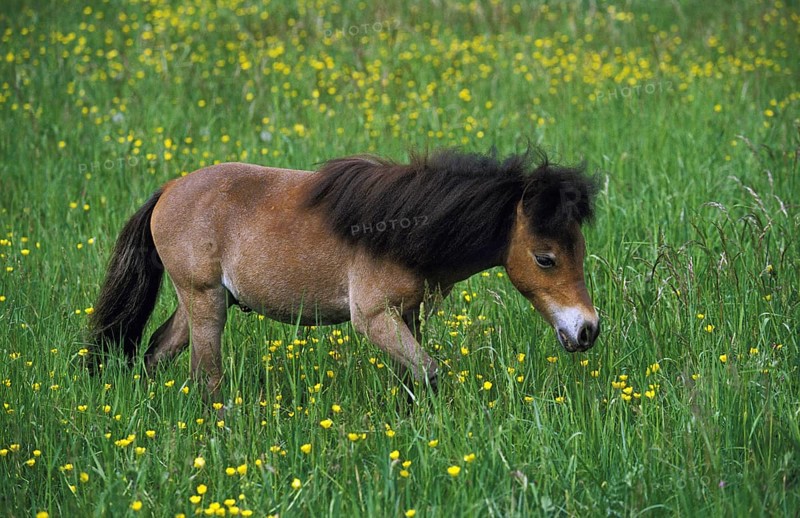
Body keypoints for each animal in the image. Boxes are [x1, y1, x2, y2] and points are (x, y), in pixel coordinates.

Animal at [89, 147, 600, 403]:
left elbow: (413, 376)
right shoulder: (372, 318)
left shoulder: (405, 316)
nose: (588, 330)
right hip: (206, 302)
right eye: (546, 258)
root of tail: (169, 189)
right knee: (206, 377)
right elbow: (431, 372)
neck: (406, 230)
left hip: (198, 303)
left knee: (157, 352)